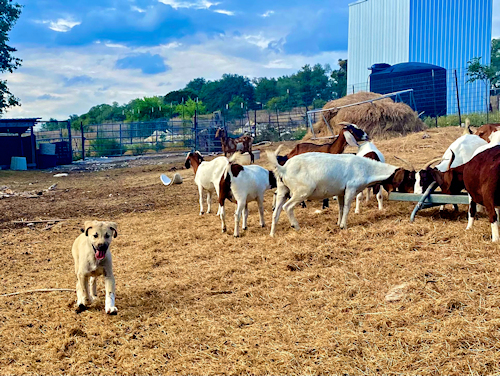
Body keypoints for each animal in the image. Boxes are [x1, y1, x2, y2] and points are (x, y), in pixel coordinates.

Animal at [266, 149, 406, 235]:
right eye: (408, 177)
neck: (366, 168)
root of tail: (283, 168)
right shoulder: (350, 189)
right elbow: (347, 207)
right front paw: (343, 225)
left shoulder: (340, 192)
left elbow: (341, 208)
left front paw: (338, 223)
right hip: (302, 191)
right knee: (287, 207)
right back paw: (296, 226)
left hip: (283, 190)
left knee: (276, 212)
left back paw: (273, 234)